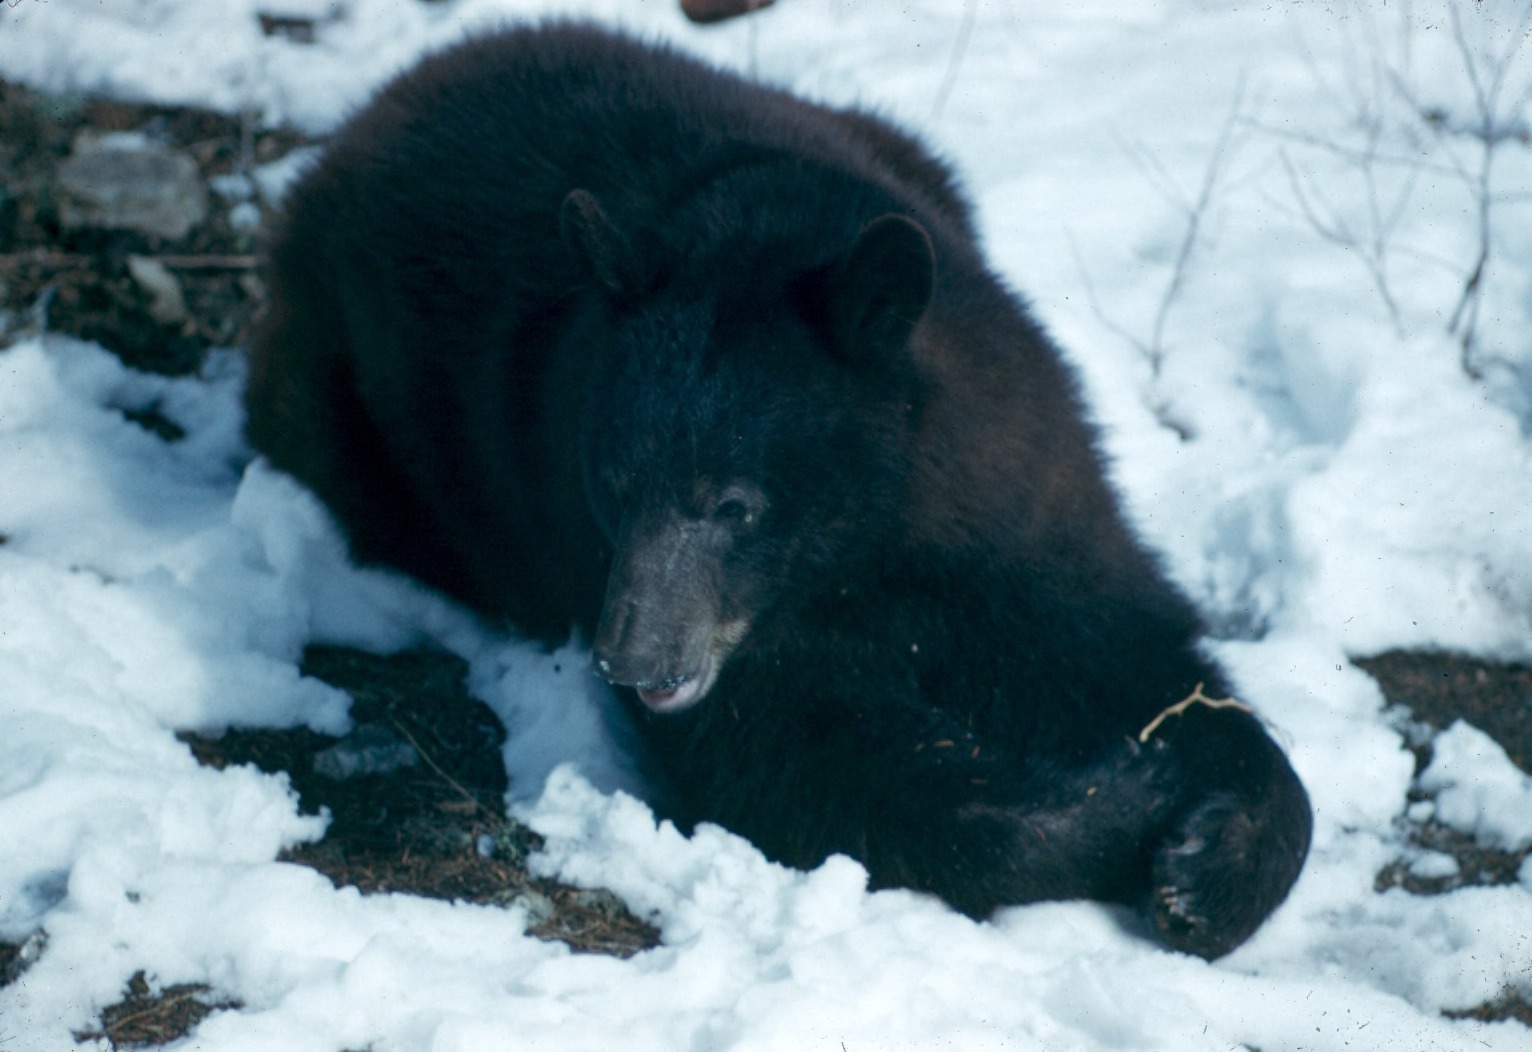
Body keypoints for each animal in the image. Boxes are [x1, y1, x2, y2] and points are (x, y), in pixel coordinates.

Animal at [245, 22, 1312, 960]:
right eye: (614, 484)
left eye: (735, 504)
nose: (630, 659)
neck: (870, 554)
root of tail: (369, 112)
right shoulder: (747, 654)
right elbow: (809, 769)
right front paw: (1122, 803)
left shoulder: (1017, 511)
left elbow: (1139, 652)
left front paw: (1207, 859)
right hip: (331, 398)